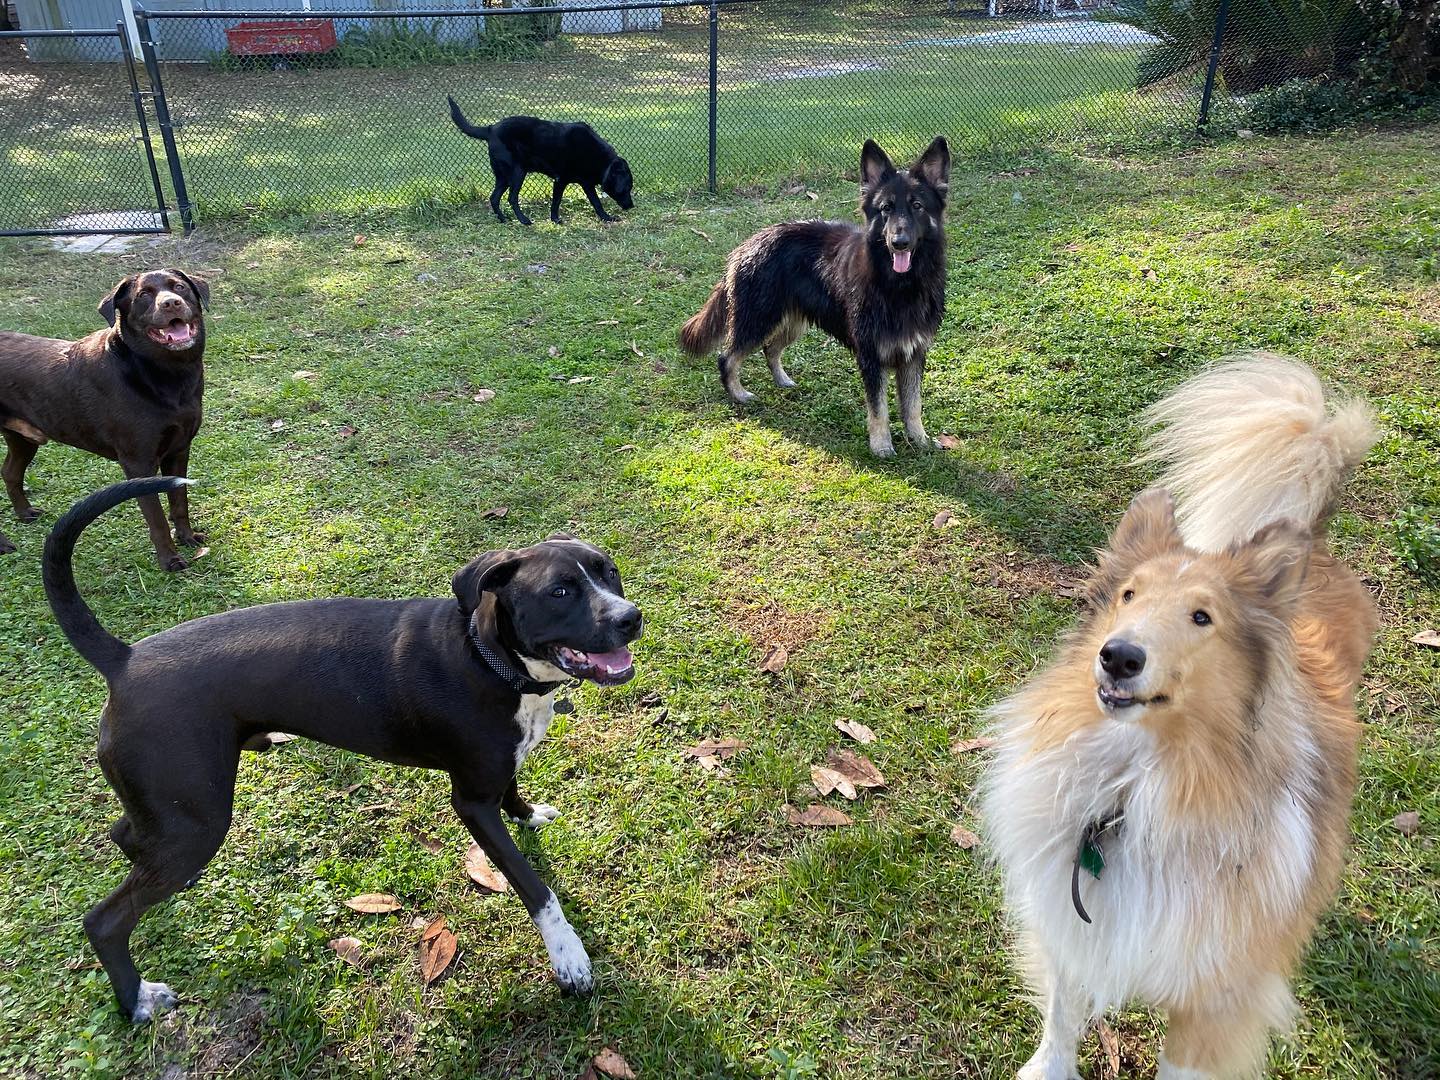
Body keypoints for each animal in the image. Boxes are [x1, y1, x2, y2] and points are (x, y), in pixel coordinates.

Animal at [0, 272, 210, 567]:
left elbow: (179, 501)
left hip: (22, 438)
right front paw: (169, 560)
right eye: (143, 295)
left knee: (9, 471)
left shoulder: (179, 449)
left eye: (179, 287)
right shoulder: (138, 463)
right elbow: (156, 518)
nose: (171, 303)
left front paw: (187, 537)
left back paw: (24, 513)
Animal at [46, 480, 642, 1025]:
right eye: (560, 592)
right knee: (104, 920)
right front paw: (568, 957)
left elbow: (515, 790)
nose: (630, 616)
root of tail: (124, 660)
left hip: (174, 813)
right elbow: (536, 888)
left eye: (608, 572)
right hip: (196, 821)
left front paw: (528, 813)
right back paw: (136, 1000)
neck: (490, 658)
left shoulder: (501, 768)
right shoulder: (472, 803)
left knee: (126, 834)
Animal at [446, 97, 633, 226]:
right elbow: (556, 202)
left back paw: (503, 219)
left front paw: (606, 217)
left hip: (503, 177)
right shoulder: (560, 180)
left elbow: (596, 203)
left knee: (494, 198)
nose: (631, 206)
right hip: (517, 173)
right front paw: (555, 220)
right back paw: (523, 220)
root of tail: (490, 129)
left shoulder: (586, 184)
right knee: (512, 198)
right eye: (627, 188)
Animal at [679, 137, 950, 457]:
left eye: (917, 206)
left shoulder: (914, 353)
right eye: (886, 208)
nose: (899, 243)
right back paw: (739, 395)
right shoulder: (871, 356)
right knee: (727, 358)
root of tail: (747, 245)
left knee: (770, 348)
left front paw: (919, 440)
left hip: (793, 321)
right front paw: (882, 446)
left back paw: (781, 380)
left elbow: (913, 405)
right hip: (757, 320)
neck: (900, 286)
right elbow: (879, 409)